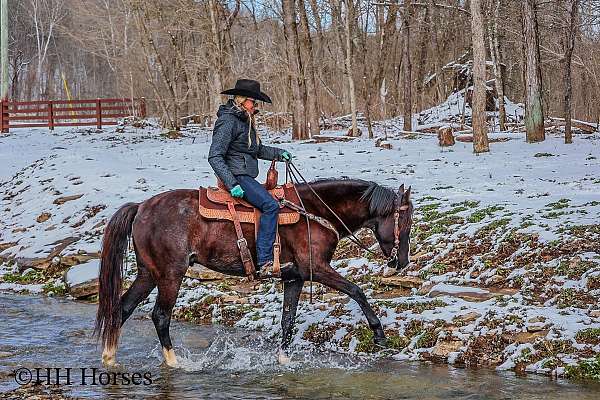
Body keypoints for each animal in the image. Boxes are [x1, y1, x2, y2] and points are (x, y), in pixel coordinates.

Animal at [95, 180, 412, 368]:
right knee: (160, 316)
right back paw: (175, 363)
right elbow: (357, 291)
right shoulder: (317, 270)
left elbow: (288, 320)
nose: (402, 262)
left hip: (148, 274)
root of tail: (141, 207)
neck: (316, 212)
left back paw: (109, 357)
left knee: (121, 309)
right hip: (170, 274)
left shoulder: (295, 278)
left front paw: (284, 360)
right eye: (406, 221)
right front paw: (379, 335)